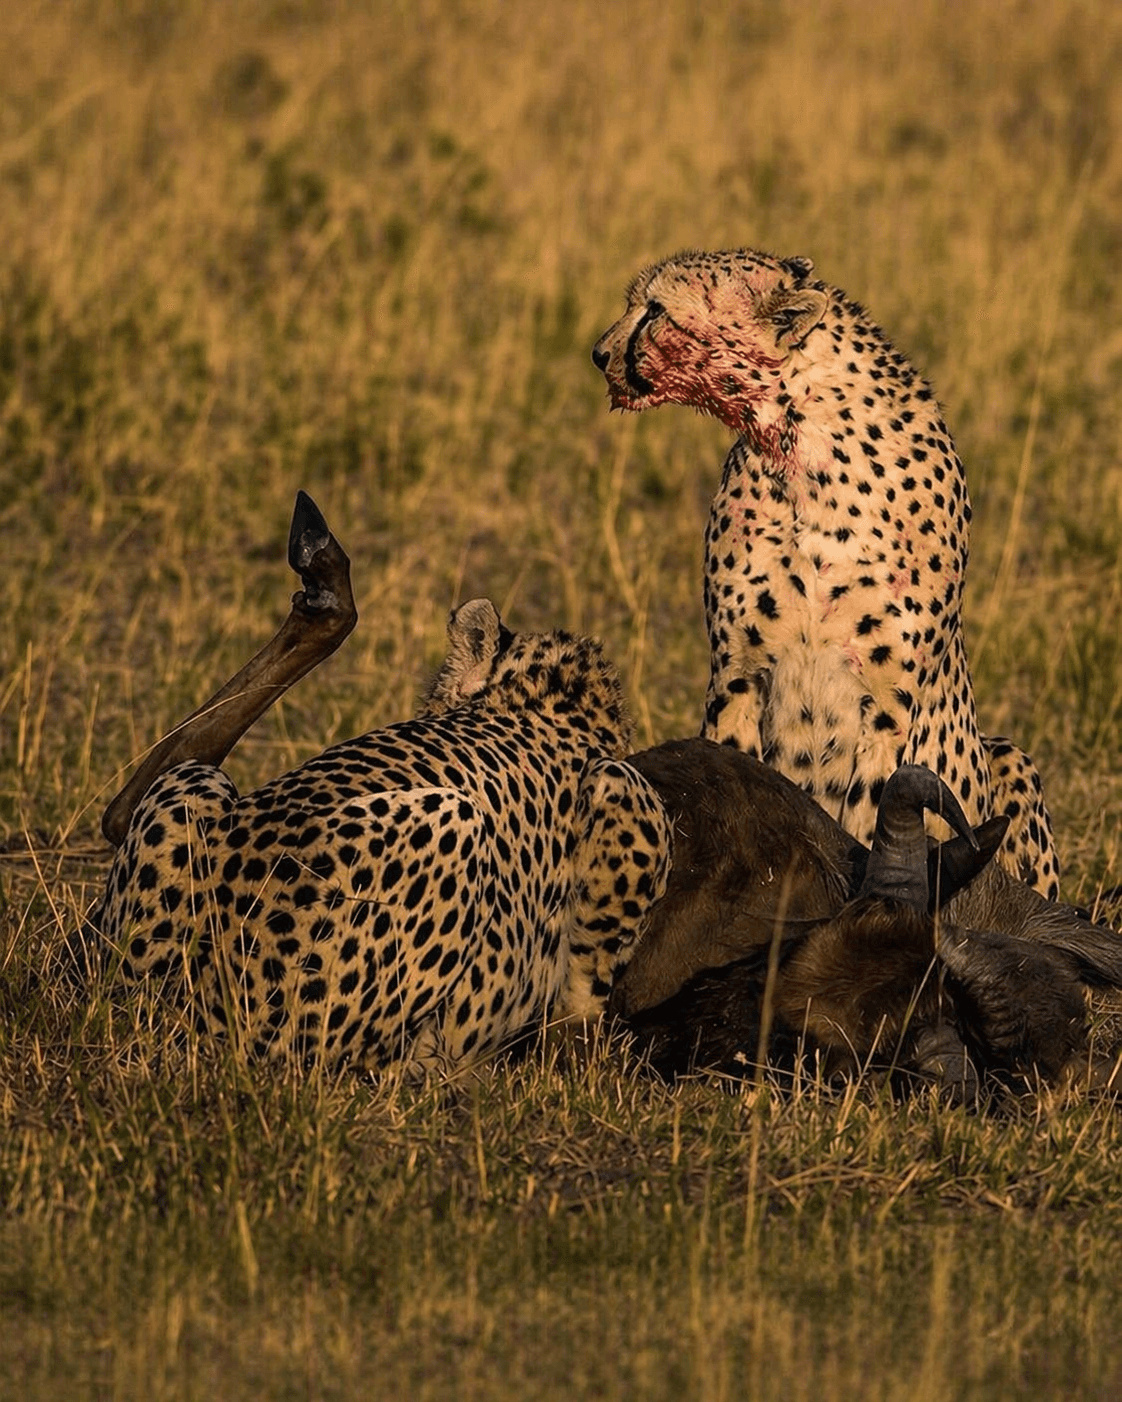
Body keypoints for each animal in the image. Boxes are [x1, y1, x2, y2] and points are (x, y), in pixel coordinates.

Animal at [94, 599, 672, 1072]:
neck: (536, 704)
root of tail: (184, 1014)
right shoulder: (622, 791)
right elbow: (581, 1001)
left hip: (190, 791)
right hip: (453, 823)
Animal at [593, 247, 1058, 898]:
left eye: (657, 310)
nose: (598, 352)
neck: (804, 454)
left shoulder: (886, 709)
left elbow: (871, 821)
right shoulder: (735, 678)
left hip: (1011, 758)